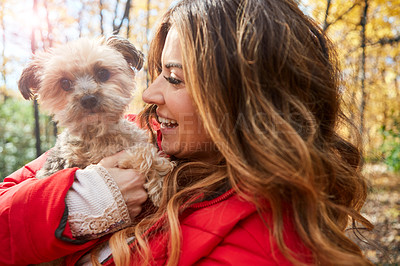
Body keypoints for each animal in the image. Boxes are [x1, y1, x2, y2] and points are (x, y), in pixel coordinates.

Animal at [18, 35, 173, 206]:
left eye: (102, 73)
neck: (99, 133)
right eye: (64, 83)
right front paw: (160, 182)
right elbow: (144, 153)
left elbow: (143, 151)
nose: (88, 99)